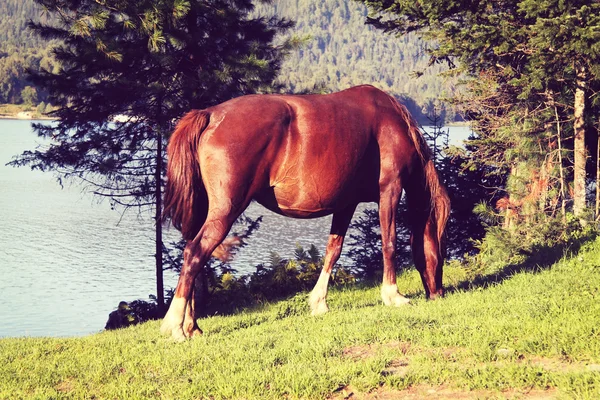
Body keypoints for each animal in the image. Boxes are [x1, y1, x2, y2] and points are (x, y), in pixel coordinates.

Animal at [159, 84, 450, 340]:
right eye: (441, 250)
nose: (439, 294)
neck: (391, 121)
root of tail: (210, 114)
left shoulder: (346, 205)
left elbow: (333, 250)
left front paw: (319, 302)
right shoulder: (390, 189)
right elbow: (389, 243)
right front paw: (393, 295)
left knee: (193, 258)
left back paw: (192, 327)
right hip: (226, 210)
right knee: (194, 253)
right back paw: (175, 327)